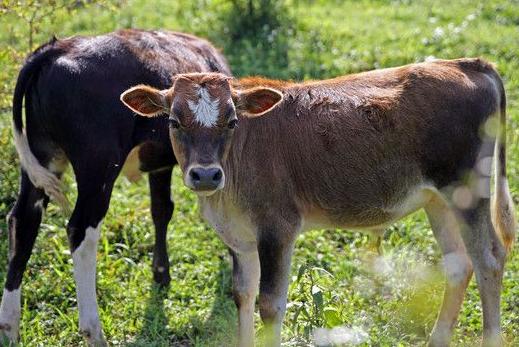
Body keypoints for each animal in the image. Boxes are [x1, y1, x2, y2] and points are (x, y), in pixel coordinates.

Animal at [121, 58, 516, 346]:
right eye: (174, 121)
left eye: (232, 121)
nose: (205, 175)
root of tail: (466, 63)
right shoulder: (240, 238)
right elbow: (242, 294)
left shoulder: (277, 228)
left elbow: (271, 304)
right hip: (439, 199)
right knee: (459, 265)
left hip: (468, 188)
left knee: (489, 259)